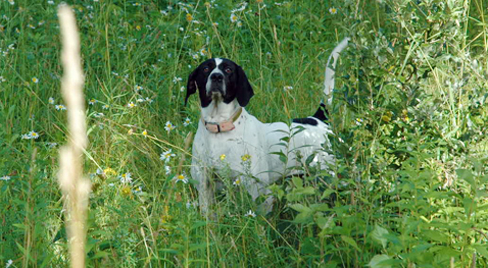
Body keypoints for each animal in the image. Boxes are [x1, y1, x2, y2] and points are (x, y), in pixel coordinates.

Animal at [185, 38, 348, 216]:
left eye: (228, 69)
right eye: (206, 68)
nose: (216, 77)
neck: (220, 128)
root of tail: (318, 119)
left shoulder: (259, 189)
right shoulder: (204, 187)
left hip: (330, 174)